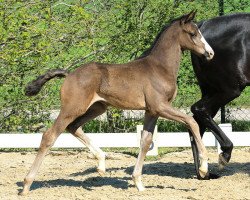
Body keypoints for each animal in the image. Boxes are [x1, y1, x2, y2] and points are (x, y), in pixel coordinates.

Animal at [20, 10, 214, 194]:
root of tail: (70, 74)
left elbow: (145, 141)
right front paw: (204, 168)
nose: (210, 53)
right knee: (49, 136)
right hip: (72, 108)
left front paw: (138, 183)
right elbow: (190, 121)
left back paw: (101, 163)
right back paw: (26, 185)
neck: (159, 68)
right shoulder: (161, 106)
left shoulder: (152, 111)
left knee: (73, 127)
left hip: (96, 108)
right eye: (192, 33)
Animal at [189, 12, 250, 178]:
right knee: (199, 110)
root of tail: (204, 25)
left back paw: (203, 172)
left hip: (212, 90)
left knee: (197, 122)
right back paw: (224, 155)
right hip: (230, 89)